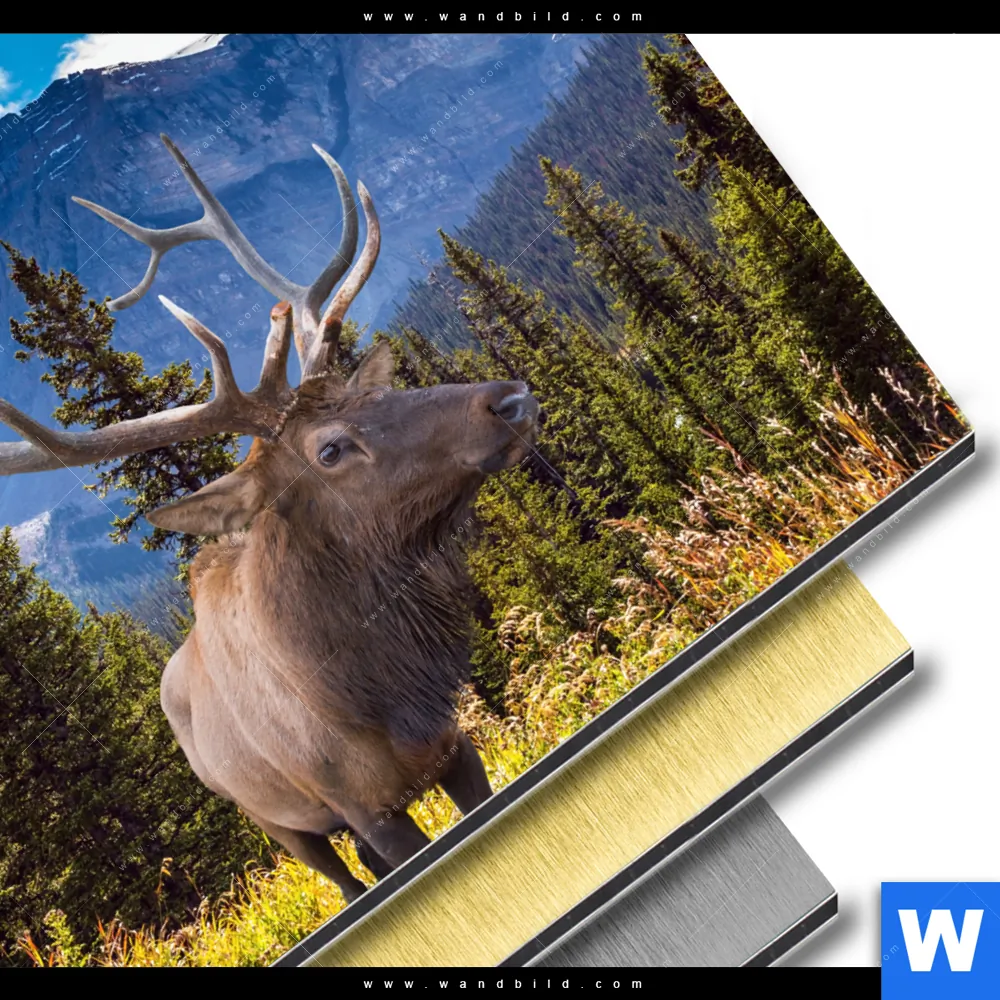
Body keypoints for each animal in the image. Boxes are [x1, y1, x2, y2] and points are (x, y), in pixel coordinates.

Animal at [0, 134, 539, 902]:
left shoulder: (453, 742)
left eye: (369, 390)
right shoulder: (362, 805)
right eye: (331, 449)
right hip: (277, 820)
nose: (511, 399)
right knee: (347, 885)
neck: (379, 696)